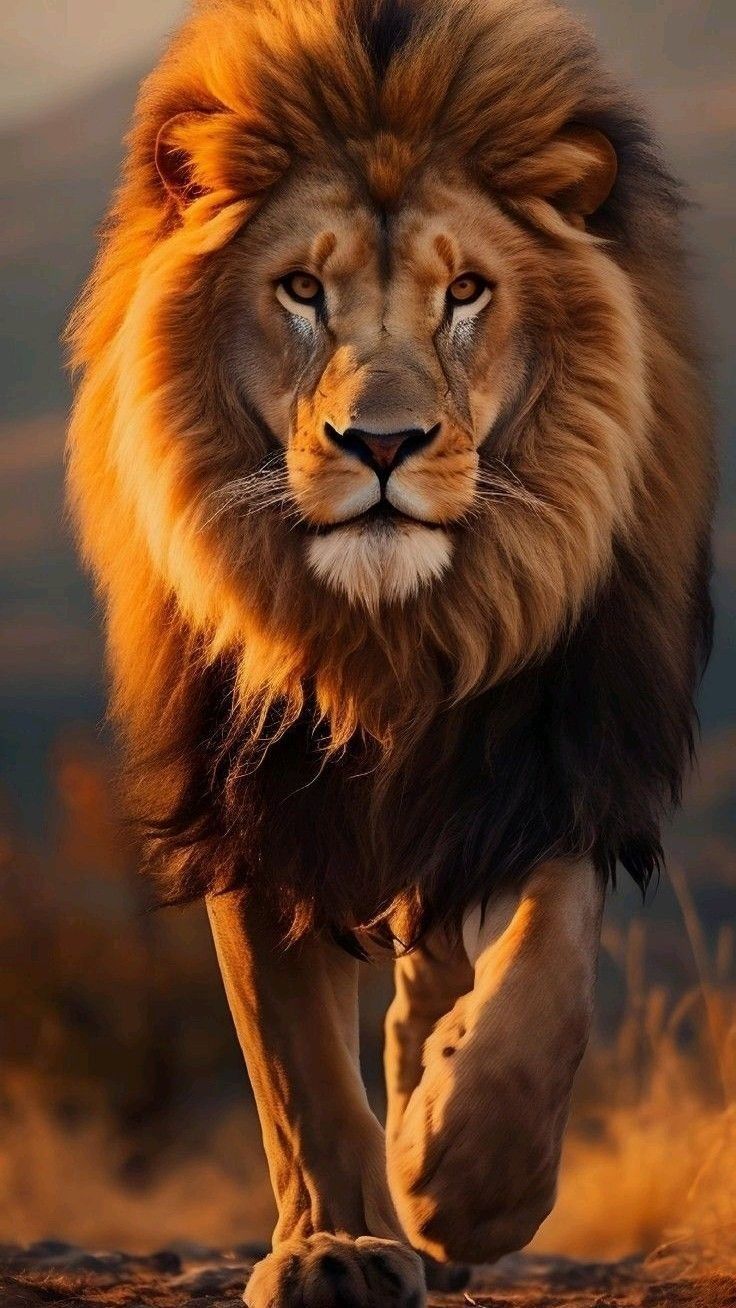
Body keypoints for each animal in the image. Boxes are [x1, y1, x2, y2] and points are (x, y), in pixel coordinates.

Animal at [67, 0, 714, 1302]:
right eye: (300, 290)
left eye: (465, 291)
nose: (380, 443)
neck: (392, 639)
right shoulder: (247, 796)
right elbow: (296, 1065)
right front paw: (338, 1245)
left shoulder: (560, 753)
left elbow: (546, 971)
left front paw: (467, 1182)